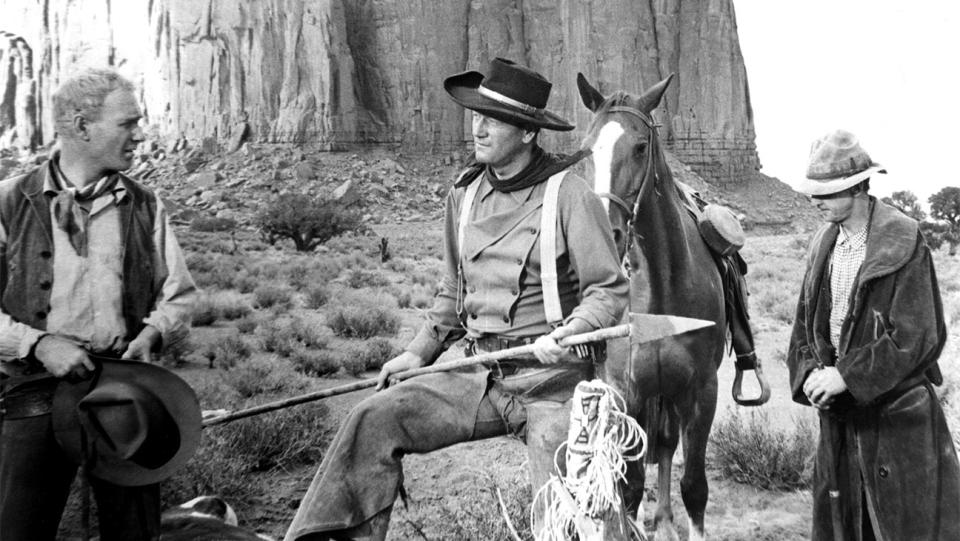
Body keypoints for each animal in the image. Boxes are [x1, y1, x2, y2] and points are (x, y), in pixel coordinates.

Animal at [576, 73, 728, 540]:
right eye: (587, 149)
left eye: (640, 146)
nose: (603, 232)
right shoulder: (627, 390)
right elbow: (627, 486)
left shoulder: (701, 390)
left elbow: (694, 486)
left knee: (663, 446)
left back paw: (662, 516)